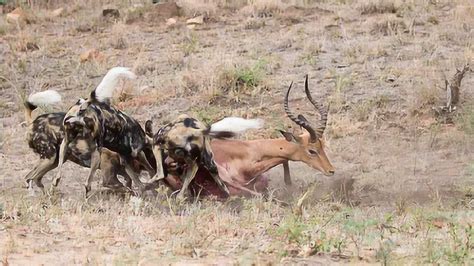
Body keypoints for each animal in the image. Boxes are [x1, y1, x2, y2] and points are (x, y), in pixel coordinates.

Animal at [22, 90, 150, 192]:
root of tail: (33, 122)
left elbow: (132, 183)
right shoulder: (109, 178)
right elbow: (126, 188)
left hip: (53, 161)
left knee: (33, 178)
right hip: (49, 158)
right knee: (31, 178)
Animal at [52, 66, 156, 195]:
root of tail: (83, 107)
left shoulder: (125, 161)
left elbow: (138, 183)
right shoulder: (138, 154)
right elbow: (150, 172)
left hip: (66, 143)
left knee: (62, 172)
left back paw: (56, 181)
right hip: (97, 152)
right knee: (87, 183)